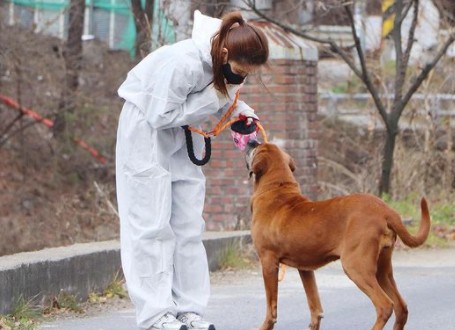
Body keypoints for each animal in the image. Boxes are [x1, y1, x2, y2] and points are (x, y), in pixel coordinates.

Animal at [248, 142, 432, 330]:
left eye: (257, 148)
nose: (252, 142)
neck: (277, 190)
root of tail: (386, 211)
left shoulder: (268, 261)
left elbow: (271, 308)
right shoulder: (305, 269)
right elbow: (315, 308)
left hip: (356, 266)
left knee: (385, 305)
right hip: (382, 270)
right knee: (401, 307)